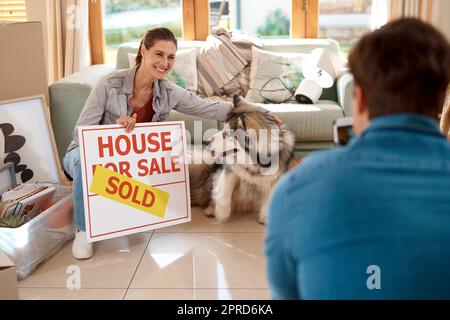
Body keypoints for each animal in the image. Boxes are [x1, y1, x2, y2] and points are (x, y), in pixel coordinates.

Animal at [188, 96, 298, 224]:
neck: (255, 163)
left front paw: (266, 217)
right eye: (223, 130)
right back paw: (211, 209)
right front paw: (222, 213)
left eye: (227, 135)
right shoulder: (230, 169)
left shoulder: (275, 177)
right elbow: (224, 192)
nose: (206, 142)